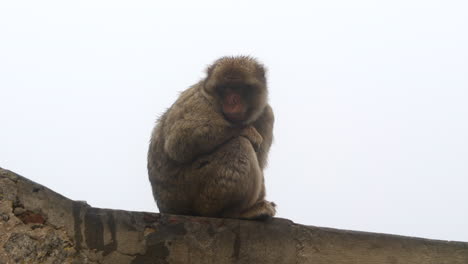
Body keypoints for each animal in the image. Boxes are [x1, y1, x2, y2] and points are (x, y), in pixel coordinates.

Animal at [148, 55, 276, 219]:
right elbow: (179, 141)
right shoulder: (199, 99)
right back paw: (234, 212)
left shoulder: (267, 115)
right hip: (187, 189)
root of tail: (165, 206)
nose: (232, 101)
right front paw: (248, 131)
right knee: (240, 145)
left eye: (239, 88)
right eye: (225, 89)